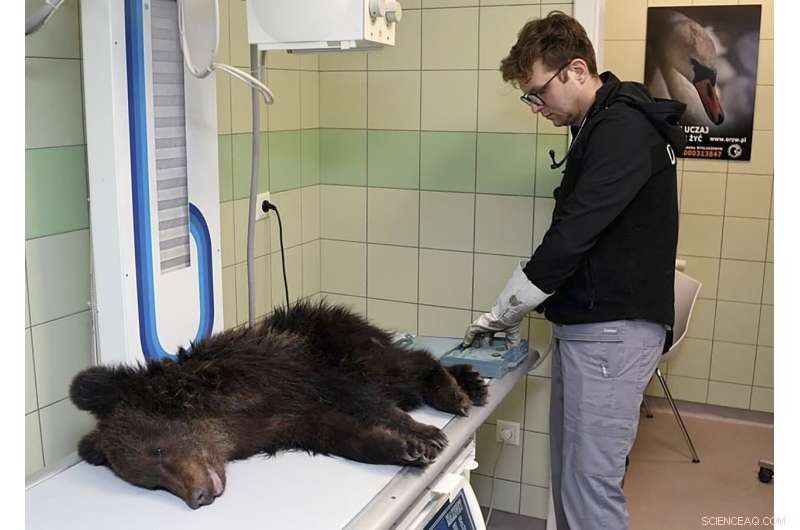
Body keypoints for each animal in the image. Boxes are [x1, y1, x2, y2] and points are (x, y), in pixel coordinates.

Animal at [70, 300, 488, 510]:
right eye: (151, 482)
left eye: (158, 449)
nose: (197, 498)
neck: (225, 423)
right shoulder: (283, 425)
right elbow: (341, 434)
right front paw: (404, 448)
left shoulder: (281, 375)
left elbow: (361, 399)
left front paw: (425, 434)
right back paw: (472, 380)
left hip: (345, 342)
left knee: (405, 365)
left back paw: (452, 391)